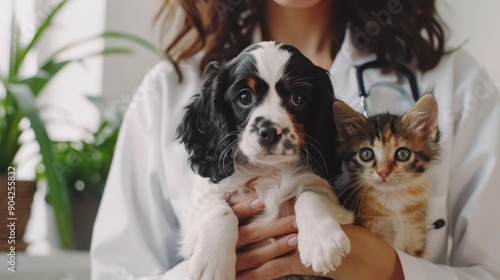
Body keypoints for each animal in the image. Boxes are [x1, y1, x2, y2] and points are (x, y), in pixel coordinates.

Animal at [178, 42, 354, 280]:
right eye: (244, 97)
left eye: (297, 98)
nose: (269, 132)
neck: (269, 170)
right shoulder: (201, 204)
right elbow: (219, 209)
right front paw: (212, 265)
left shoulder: (327, 193)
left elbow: (309, 194)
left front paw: (322, 242)